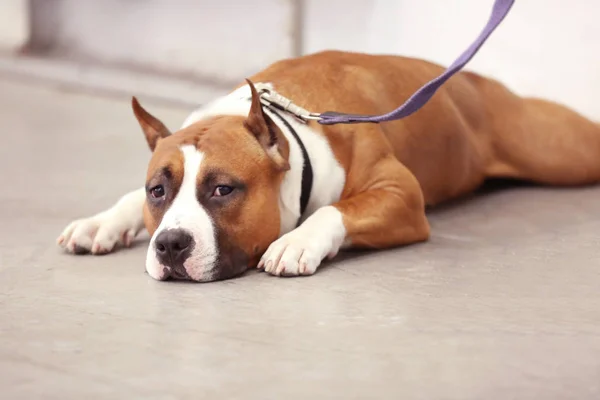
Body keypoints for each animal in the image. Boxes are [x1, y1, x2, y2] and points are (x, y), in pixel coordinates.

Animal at [56, 50, 600, 282]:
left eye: (223, 190)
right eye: (158, 191)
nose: (169, 244)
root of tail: (477, 80)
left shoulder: (401, 194)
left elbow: (335, 210)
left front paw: (296, 242)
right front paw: (101, 222)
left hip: (560, 149)